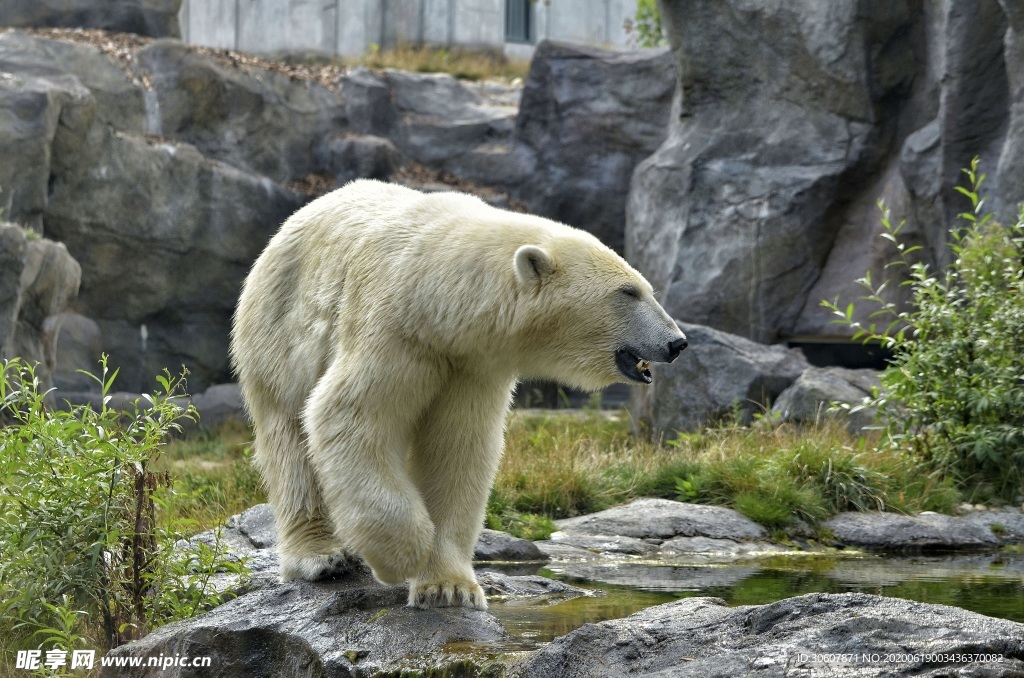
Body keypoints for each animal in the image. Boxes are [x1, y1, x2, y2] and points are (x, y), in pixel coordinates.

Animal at [232, 180, 688, 610]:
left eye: (646, 289)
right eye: (628, 292)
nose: (677, 342)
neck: (440, 296)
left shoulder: (472, 364)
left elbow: (456, 449)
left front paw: (448, 588)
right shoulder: (395, 330)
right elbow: (349, 416)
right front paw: (401, 556)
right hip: (277, 331)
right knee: (289, 441)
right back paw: (320, 556)